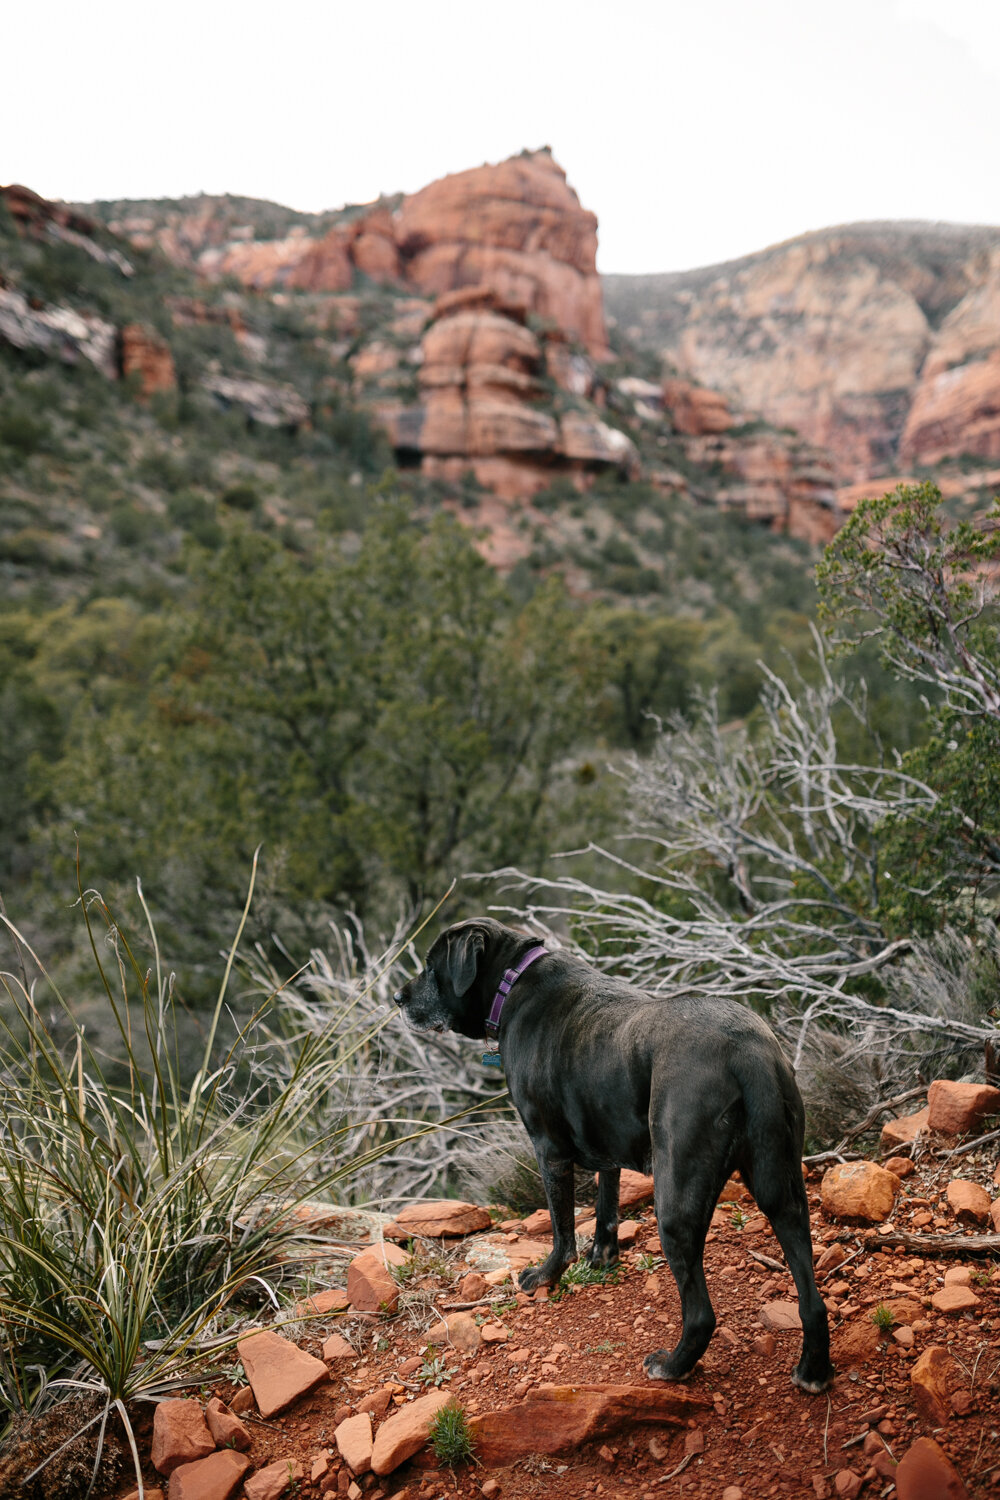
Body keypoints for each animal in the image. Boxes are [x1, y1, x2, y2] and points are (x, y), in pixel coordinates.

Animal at [395, 912, 833, 1392]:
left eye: (430, 965)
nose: (397, 997)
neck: (513, 980)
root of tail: (748, 1053)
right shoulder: (607, 1143)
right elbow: (606, 1206)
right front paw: (602, 1257)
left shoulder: (549, 1150)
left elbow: (562, 1229)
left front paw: (546, 1275)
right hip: (783, 1190)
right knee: (812, 1298)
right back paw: (813, 1371)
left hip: (675, 1201)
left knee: (701, 1313)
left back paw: (672, 1366)